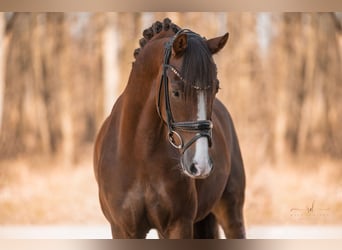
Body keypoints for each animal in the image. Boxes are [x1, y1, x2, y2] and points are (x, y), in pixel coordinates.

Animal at [93, 18, 246, 238]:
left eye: (216, 88)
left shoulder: (178, 225)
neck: (140, 154)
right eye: (175, 92)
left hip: (231, 211)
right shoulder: (123, 229)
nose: (200, 165)